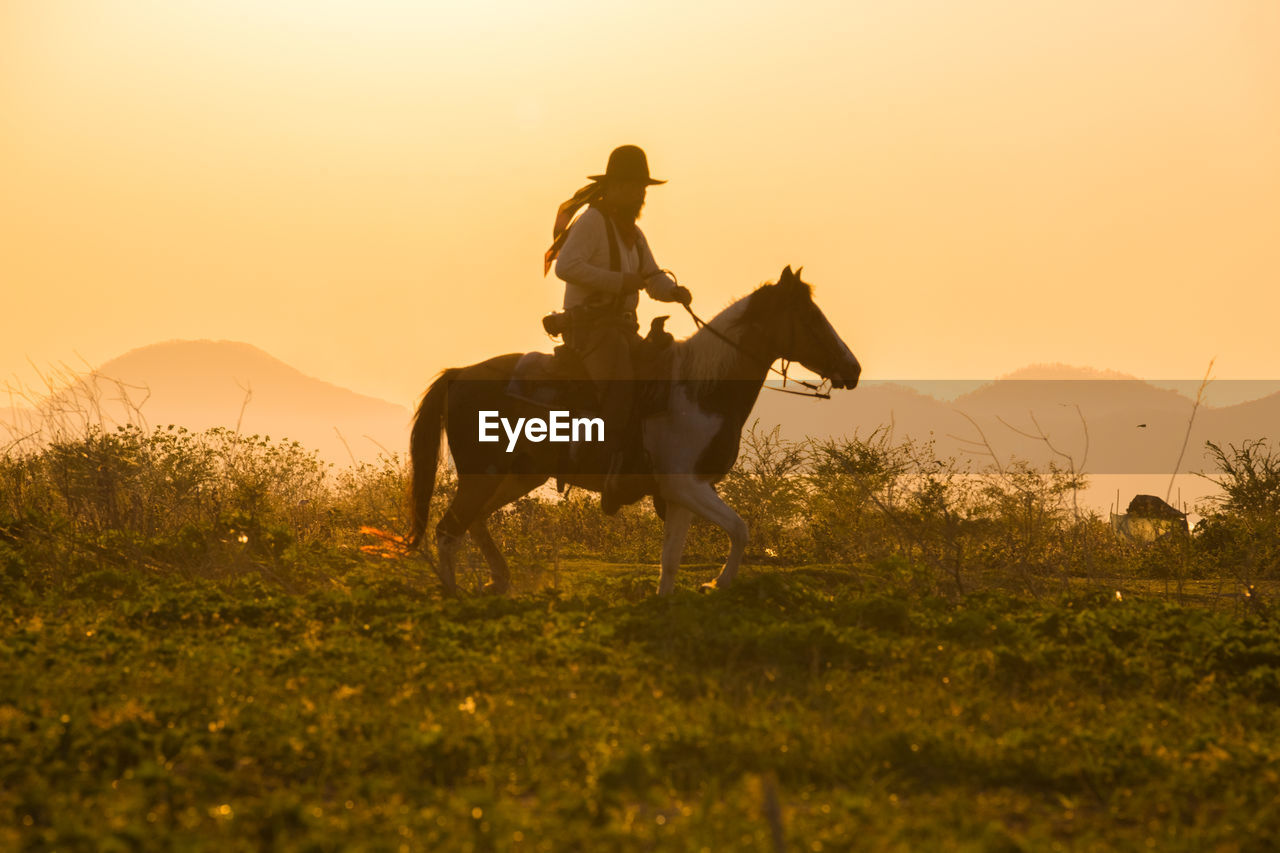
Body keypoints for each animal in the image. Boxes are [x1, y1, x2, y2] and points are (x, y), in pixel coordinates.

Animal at [409, 263, 860, 591]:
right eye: (812, 318)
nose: (852, 369)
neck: (700, 389)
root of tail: (458, 374)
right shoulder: (686, 485)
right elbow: (740, 528)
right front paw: (717, 583)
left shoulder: (683, 494)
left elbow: (672, 559)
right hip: (482, 475)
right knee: (448, 531)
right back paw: (455, 595)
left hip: (517, 475)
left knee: (473, 523)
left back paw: (498, 580)